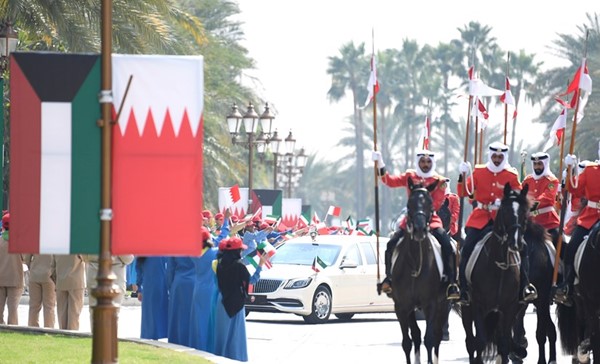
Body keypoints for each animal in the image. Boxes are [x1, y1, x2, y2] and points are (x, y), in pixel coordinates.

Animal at [390, 178, 450, 362]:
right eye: (409, 203)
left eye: (430, 203)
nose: (419, 230)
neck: (416, 261)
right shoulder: (402, 306)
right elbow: (408, 342)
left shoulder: (431, 304)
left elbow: (429, 339)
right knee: (416, 335)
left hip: (443, 304)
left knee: (437, 336)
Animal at [462, 183, 528, 362]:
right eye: (505, 211)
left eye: (524, 212)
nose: (516, 243)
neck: (499, 266)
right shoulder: (478, 306)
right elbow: (480, 342)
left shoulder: (509, 308)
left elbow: (504, 345)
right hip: (468, 309)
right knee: (470, 341)